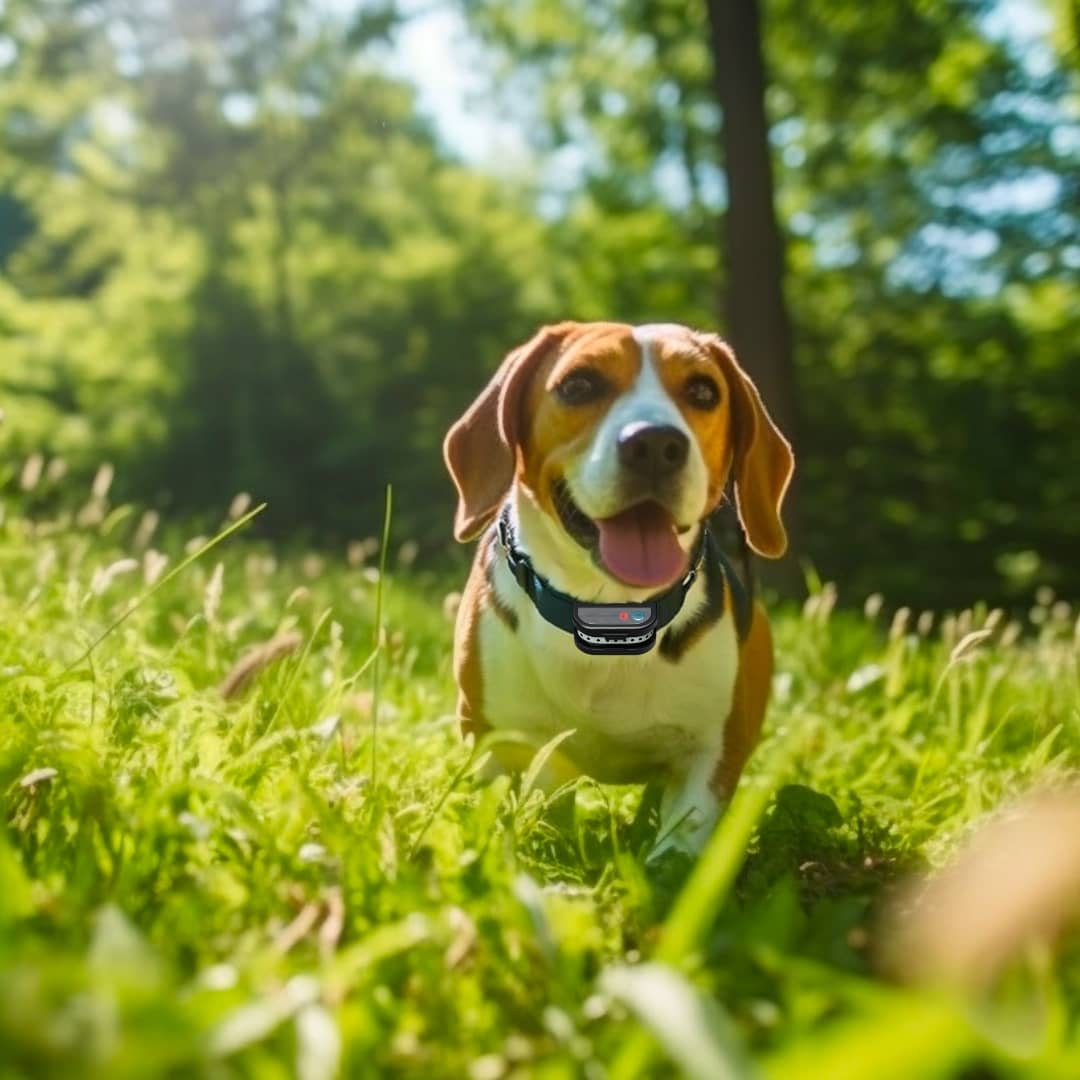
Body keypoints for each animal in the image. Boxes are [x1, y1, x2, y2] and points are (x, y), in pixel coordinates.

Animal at [440, 315, 794, 855]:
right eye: (579, 385)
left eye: (702, 391)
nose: (655, 444)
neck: (607, 612)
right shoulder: (491, 736)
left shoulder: (712, 753)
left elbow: (680, 847)